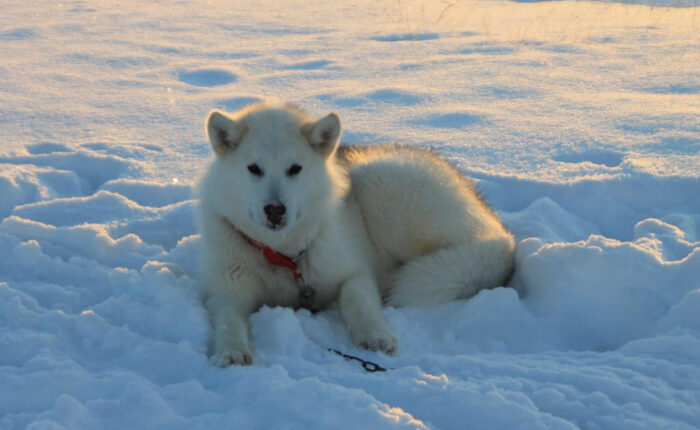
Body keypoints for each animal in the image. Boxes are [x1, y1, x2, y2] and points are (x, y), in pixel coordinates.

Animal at [197, 101, 516, 366]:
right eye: (253, 169)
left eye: (295, 169)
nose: (274, 210)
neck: (284, 256)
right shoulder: (227, 293)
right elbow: (228, 319)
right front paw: (232, 349)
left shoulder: (354, 272)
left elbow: (358, 300)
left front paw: (375, 335)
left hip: (381, 189)